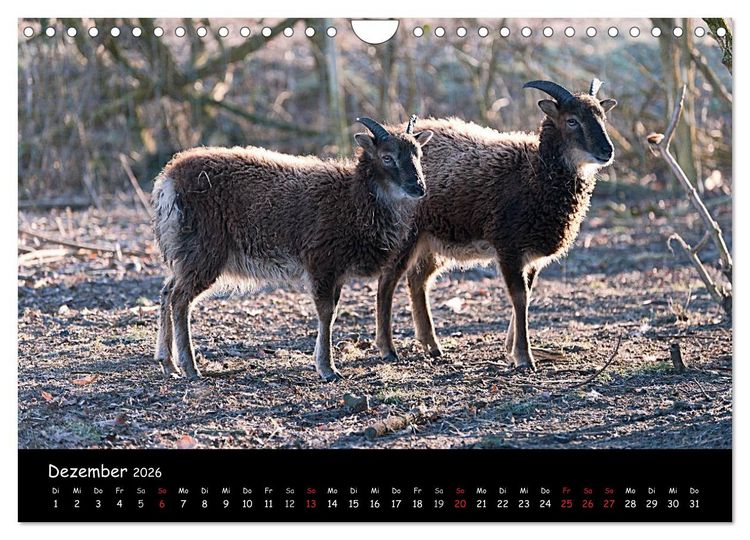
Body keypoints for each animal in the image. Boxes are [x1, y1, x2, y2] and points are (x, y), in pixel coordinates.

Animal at [152, 116, 433, 382]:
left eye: (418, 155)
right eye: (387, 157)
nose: (419, 188)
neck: (353, 201)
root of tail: (168, 182)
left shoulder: (337, 271)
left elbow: (332, 312)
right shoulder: (321, 262)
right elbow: (326, 313)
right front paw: (327, 369)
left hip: (185, 251)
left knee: (167, 290)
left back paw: (168, 364)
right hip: (203, 251)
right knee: (180, 299)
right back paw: (190, 368)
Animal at [375, 79, 617, 370]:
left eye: (602, 117)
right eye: (572, 120)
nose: (607, 151)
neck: (534, 173)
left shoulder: (531, 255)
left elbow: (527, 294)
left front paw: (511, 348)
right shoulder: (508, 245)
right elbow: (519, 297)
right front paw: (524, 357)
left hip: (432, 238)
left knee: (418, 279)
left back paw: (432, 346)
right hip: (406, 234)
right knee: (387, 280)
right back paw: (388, 349)